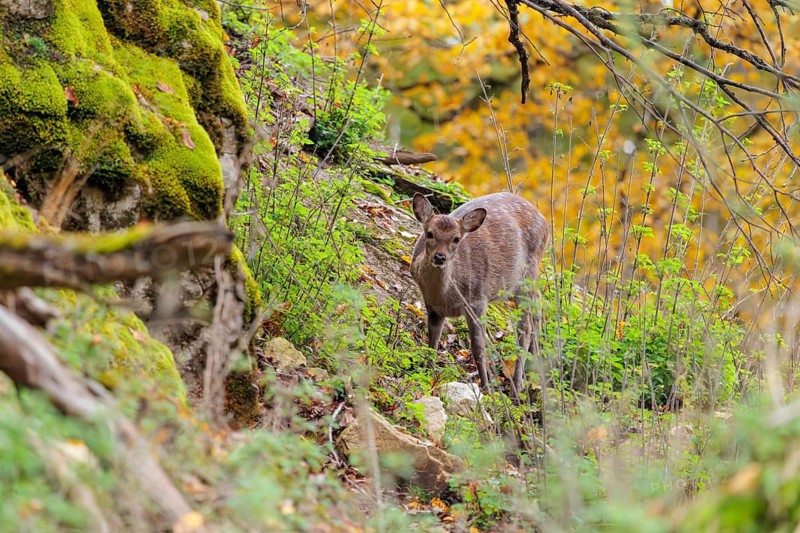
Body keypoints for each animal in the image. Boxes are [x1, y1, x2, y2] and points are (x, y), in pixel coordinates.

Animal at [410, 192, 549, 397]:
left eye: (456, 239)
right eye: (430, 233)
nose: (440, 257)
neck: (445, 296)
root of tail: (544, 221)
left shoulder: (477, 300)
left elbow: (478, 347)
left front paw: (487, 387)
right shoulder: (433, 306)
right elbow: (433, 341)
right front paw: (428, 372)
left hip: (528, 273)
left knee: (525, 328)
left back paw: (516, 386)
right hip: (513, 285)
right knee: (538, 300)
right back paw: (534, 368)